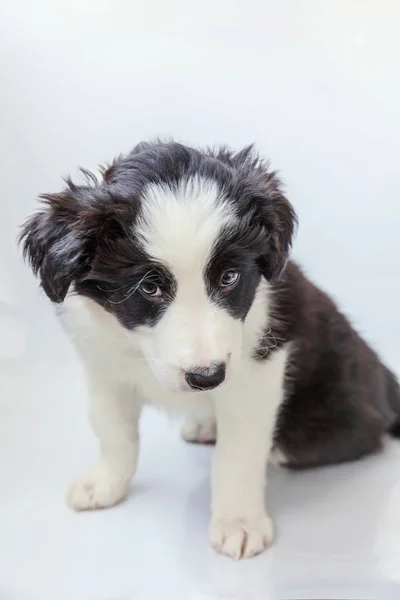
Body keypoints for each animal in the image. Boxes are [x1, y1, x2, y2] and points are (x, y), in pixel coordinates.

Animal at [21, 139, 400, 556]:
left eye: (229, 277)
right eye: (148, 288)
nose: (208, 378)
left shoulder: (257, 372)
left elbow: (238, 454)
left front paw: (239, 522)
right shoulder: (103, 365)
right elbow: (113, 431)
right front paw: (104, 482)